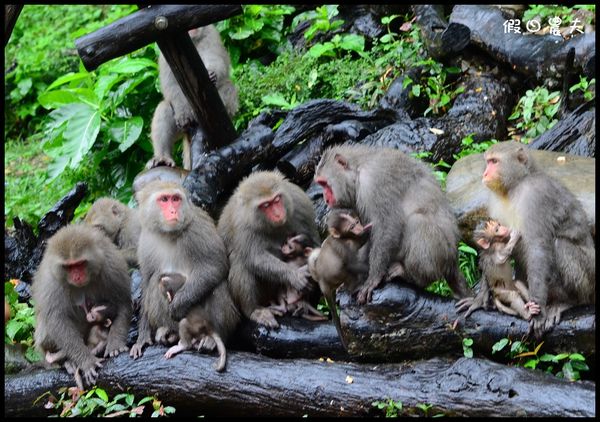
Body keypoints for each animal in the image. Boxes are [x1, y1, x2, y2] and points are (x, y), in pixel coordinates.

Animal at [31, 224, 132, 390]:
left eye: (79, 264)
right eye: (69, 267)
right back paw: (65, 360)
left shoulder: (110, 264)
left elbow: (122, 300)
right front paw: (86, 361)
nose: (77, 276)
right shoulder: (51, 281)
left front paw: (116, 343)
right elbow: (56, 319)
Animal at [146, 23, 238, 170]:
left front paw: (212, 74)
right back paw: (162, 158)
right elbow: (171, 85)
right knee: (164, 108)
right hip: (181, 128)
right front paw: (183, 114)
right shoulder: (164, 53)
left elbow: (217, 60)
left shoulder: (210, 34)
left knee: (228, 86)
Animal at [217, 171, 322, 330]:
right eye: (266, 205)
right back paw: (254, 310)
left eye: (276, 200)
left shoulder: (300, 203)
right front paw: (294, 276)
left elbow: (314, 241)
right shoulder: (242, 223)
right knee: (241, 262)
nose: (278, 214)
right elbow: (255, 257)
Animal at [310, 209, 370, 350]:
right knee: (347, 269)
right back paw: (354, 287)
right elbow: (351, 264)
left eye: (357, 222)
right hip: (335, 277)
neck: (345, 237)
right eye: (352, 227)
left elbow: (361, 241)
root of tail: (322, 284)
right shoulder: (342, 245)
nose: (360, 228)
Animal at [480, 140, 592, 338]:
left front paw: (538, 311)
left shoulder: (535, 196)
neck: (515, 186)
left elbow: (537, 248)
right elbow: (496, 247)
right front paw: (482, 293)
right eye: (488, 162)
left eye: (494, 161)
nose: (485, 173)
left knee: (560, 245)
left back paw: (571, 301)